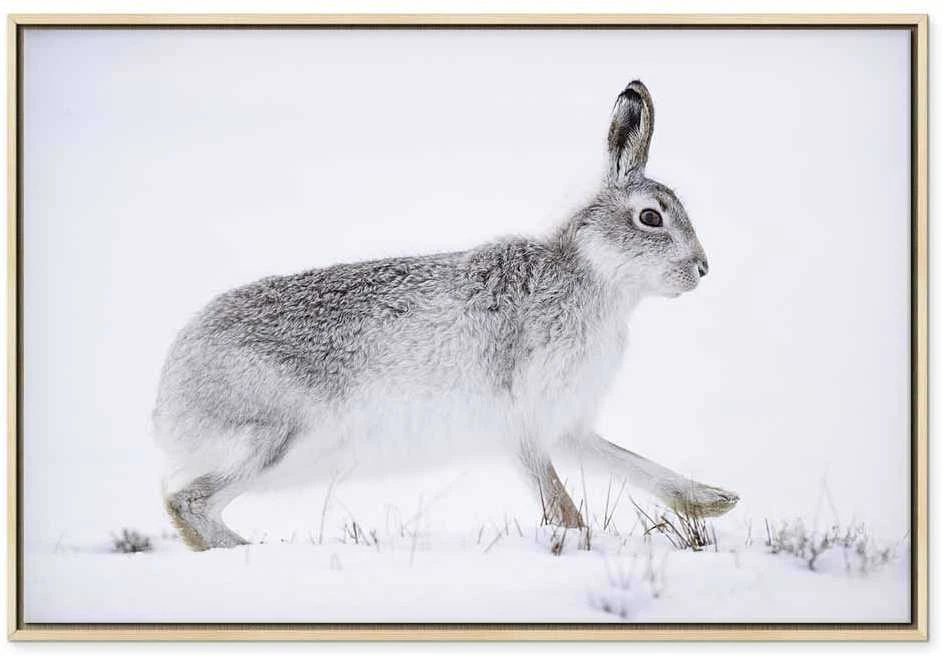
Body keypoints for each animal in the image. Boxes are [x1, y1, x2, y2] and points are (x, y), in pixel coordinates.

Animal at [154, 80, 739, 551]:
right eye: (650, 218)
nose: (703, 268)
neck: (592, 275)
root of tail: (168, 399)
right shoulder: (523, 420)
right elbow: (558, 501)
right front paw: (580, 541)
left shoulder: (566, 423)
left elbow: (629, 462)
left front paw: (713, 501)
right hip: (276, 437)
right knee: (186, 503)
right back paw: (249, 552)